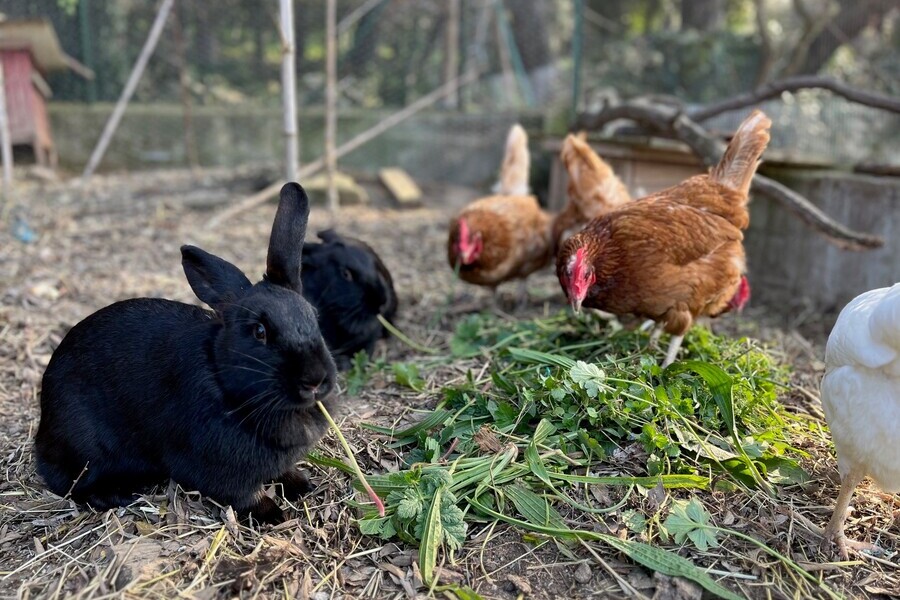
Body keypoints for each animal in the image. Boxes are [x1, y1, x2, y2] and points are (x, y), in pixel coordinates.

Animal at [33, 184, 338, 524]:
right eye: (260, 332)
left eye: (313, 316)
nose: (315, 380)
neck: (226, 384)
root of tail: (43, 433)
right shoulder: (223, 469)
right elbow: (244, 494)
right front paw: (273, 514)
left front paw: (301, 484)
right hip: (87, 450)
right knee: (73, 485)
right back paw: (118, 496)